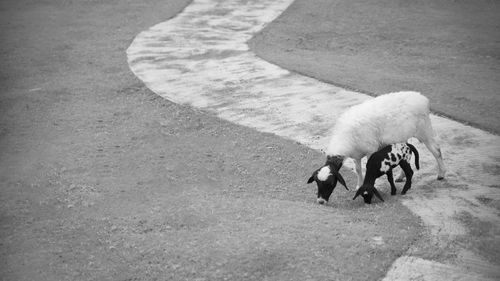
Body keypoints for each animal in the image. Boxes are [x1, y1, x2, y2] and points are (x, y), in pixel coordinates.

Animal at [308, 91, 446, 203]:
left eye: (331, 183)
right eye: (317, 183)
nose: (321, 201)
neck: (345, 137)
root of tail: (422, 98)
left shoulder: (371, 149)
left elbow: (369, 167)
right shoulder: (356, 155)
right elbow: (358, 170)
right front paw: (358, 186)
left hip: (424, 129)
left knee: (436, 150)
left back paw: (441, 174)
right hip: (403, 136)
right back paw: (401, 177)